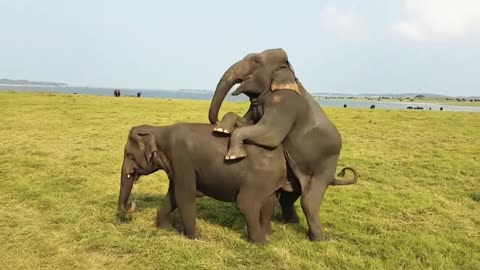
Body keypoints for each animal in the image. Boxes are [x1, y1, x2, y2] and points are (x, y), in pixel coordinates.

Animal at [116, 123, 290, 244]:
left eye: (128, 154)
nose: (132, 204)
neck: (159, 130)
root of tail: (281, 155)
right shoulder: (176, 167)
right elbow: (173, 195)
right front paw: (166, 228)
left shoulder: (182, 159)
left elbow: (184, 195)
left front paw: (194, 238)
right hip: (268, 182)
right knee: (269, 203)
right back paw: (267, 236)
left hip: (258, 179)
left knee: (247, 205)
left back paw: (260, 243)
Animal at [206, 48, 356, 240]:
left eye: (256, 61)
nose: (216, 122)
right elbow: (245, 122)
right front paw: (222, 129)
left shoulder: (285, 102)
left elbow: (270, 134)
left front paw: (234, 155)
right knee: (289, 195)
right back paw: (292, 222)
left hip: (325, 165)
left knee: (308, 200)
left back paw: (317, 239)